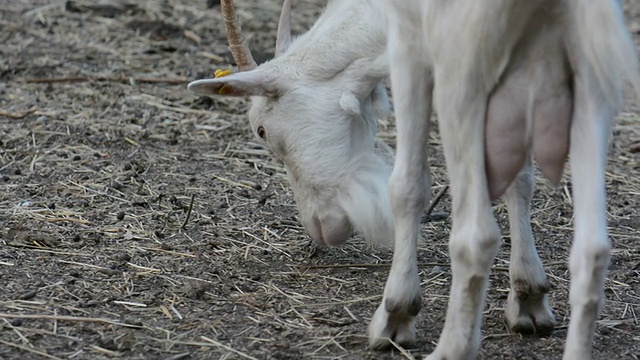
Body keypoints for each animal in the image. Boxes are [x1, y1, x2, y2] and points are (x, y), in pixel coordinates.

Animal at [188, 0, 636, 358]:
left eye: (262, 130)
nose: (320, 229)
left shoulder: (409, 49)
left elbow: (406, 187)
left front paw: (396, 315)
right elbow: (520, 178)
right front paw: (529, 297)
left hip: (463, 68)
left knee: (476, 235)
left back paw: (447, 346)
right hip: (592, 59)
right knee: (593, 247)